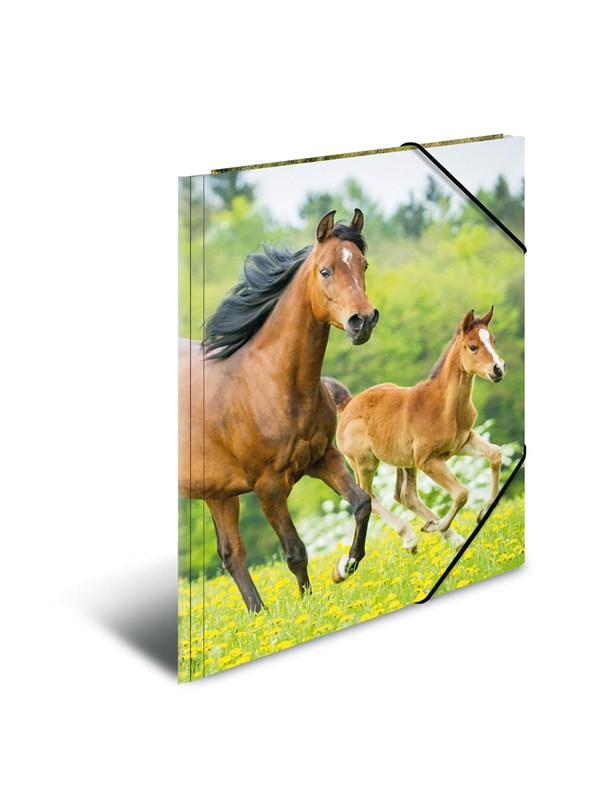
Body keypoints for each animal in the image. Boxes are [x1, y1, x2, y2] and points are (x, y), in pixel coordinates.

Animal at [179, 210, 380, 611]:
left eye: (363, 264)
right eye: (325, 270)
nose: (362, 321)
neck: (271, 384)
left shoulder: (323, 458)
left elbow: (362, 503)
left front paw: (344, 566)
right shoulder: (268, 486)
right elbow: (295, 551)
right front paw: (308, 607)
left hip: (217, 493)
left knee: (231, 555)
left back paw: (260, 615)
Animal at [331, 307, 505, 553]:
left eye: (493, 340)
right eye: (473, 346)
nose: (498, 369)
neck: (443, 406)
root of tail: (348, 404)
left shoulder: (463, 442)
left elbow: (495, 454)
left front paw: (482, 512)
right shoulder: (427, 460)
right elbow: (461, 493)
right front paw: (438, 525)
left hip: (404, 461)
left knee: (405, 495)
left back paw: (451, 537)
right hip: (364, 463)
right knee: (370, 497)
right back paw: (412, 537)